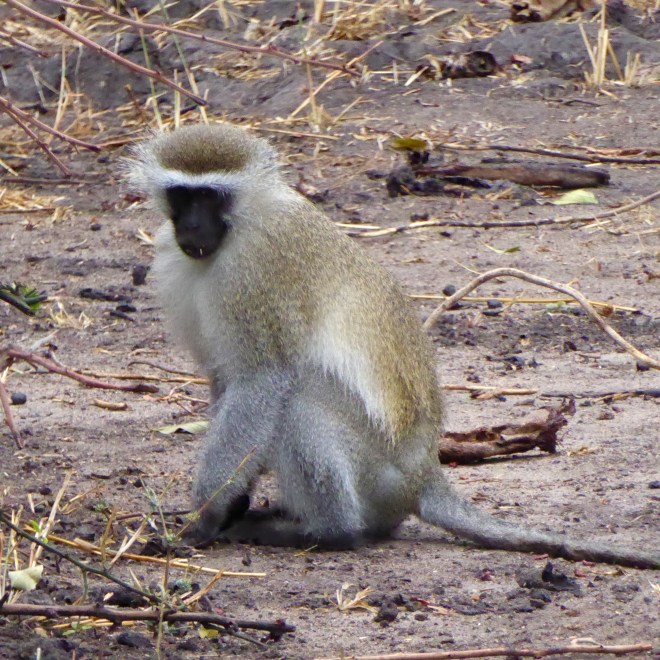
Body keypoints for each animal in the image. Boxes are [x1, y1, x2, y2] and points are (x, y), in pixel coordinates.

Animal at [126, 123, 659, 569]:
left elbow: (263, 381)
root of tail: (424, 474)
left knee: (298, 400)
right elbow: (228, 382)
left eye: (211, 196)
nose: (192, 228)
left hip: (379, 474)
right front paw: (233, 500)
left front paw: (207, 513)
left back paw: (329, 531)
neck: (240, 228)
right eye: (182, 196)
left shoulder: (257, 273)